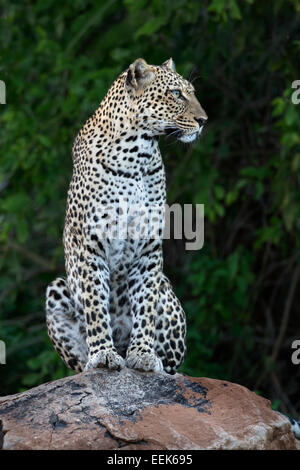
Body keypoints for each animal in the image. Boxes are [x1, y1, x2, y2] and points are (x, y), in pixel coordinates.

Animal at [45, 57, 207, 374]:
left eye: (191, 93)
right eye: (176, 94)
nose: (203, 120)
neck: (137, 155)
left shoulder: (148, 248)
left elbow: (145, 305)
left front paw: (143, 353)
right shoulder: (90, 245)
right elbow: (96, 304)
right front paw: (103, 353)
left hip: (166, 291)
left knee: (172, 363)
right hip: (56, 290)